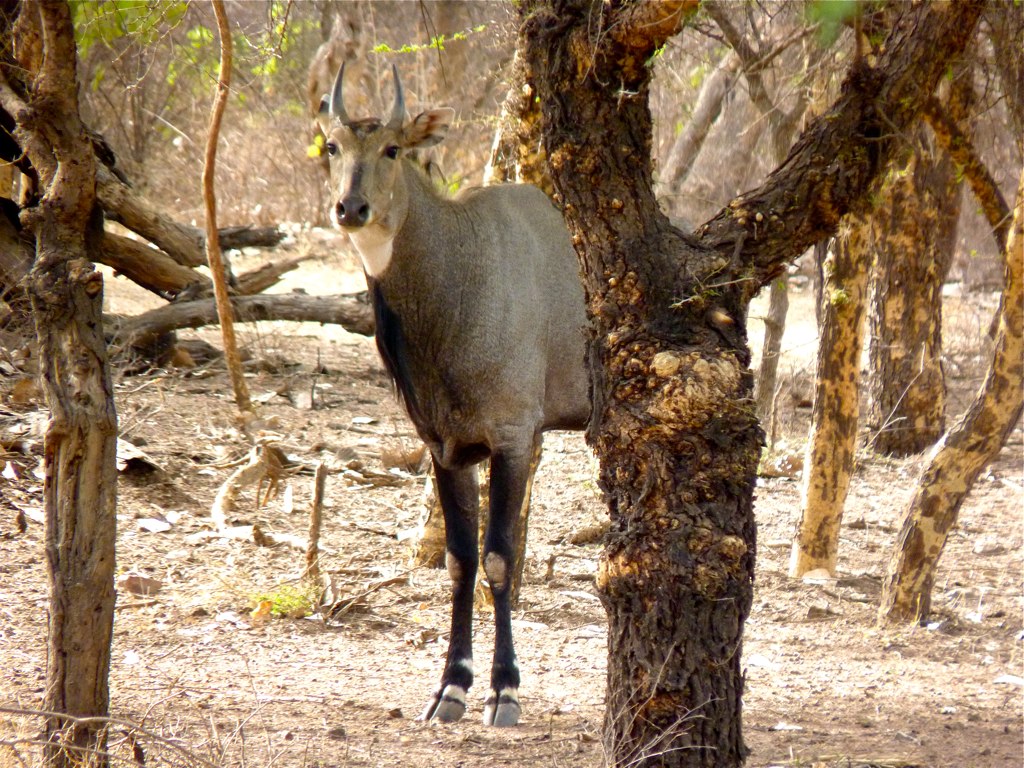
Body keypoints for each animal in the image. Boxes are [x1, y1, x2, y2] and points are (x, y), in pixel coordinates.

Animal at [317, 64, 589, 727]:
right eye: (332, 146)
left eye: (393, 148)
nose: (351, 207)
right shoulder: (446, 447)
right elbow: (461, 560)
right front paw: (452, 687)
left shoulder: (514, 437)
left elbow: (499, 556)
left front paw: (506, 690)